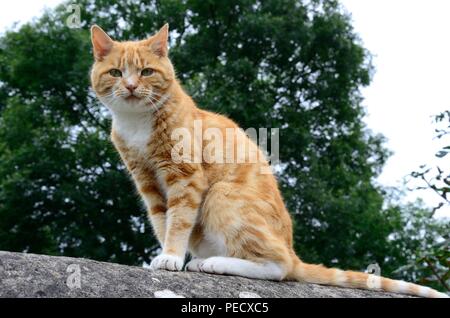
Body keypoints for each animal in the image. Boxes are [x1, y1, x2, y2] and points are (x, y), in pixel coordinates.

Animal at [89, 23, 448, 298]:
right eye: (117, 73)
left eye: (147, 72)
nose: (131, 86)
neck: (137, 123)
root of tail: (293, 250)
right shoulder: (147, 182)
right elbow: (162, 222)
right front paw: (166, 254)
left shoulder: (185, 176)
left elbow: (177, 222)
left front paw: (171, 257)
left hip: (221, 195)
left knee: (279, 266)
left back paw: (216, 263)